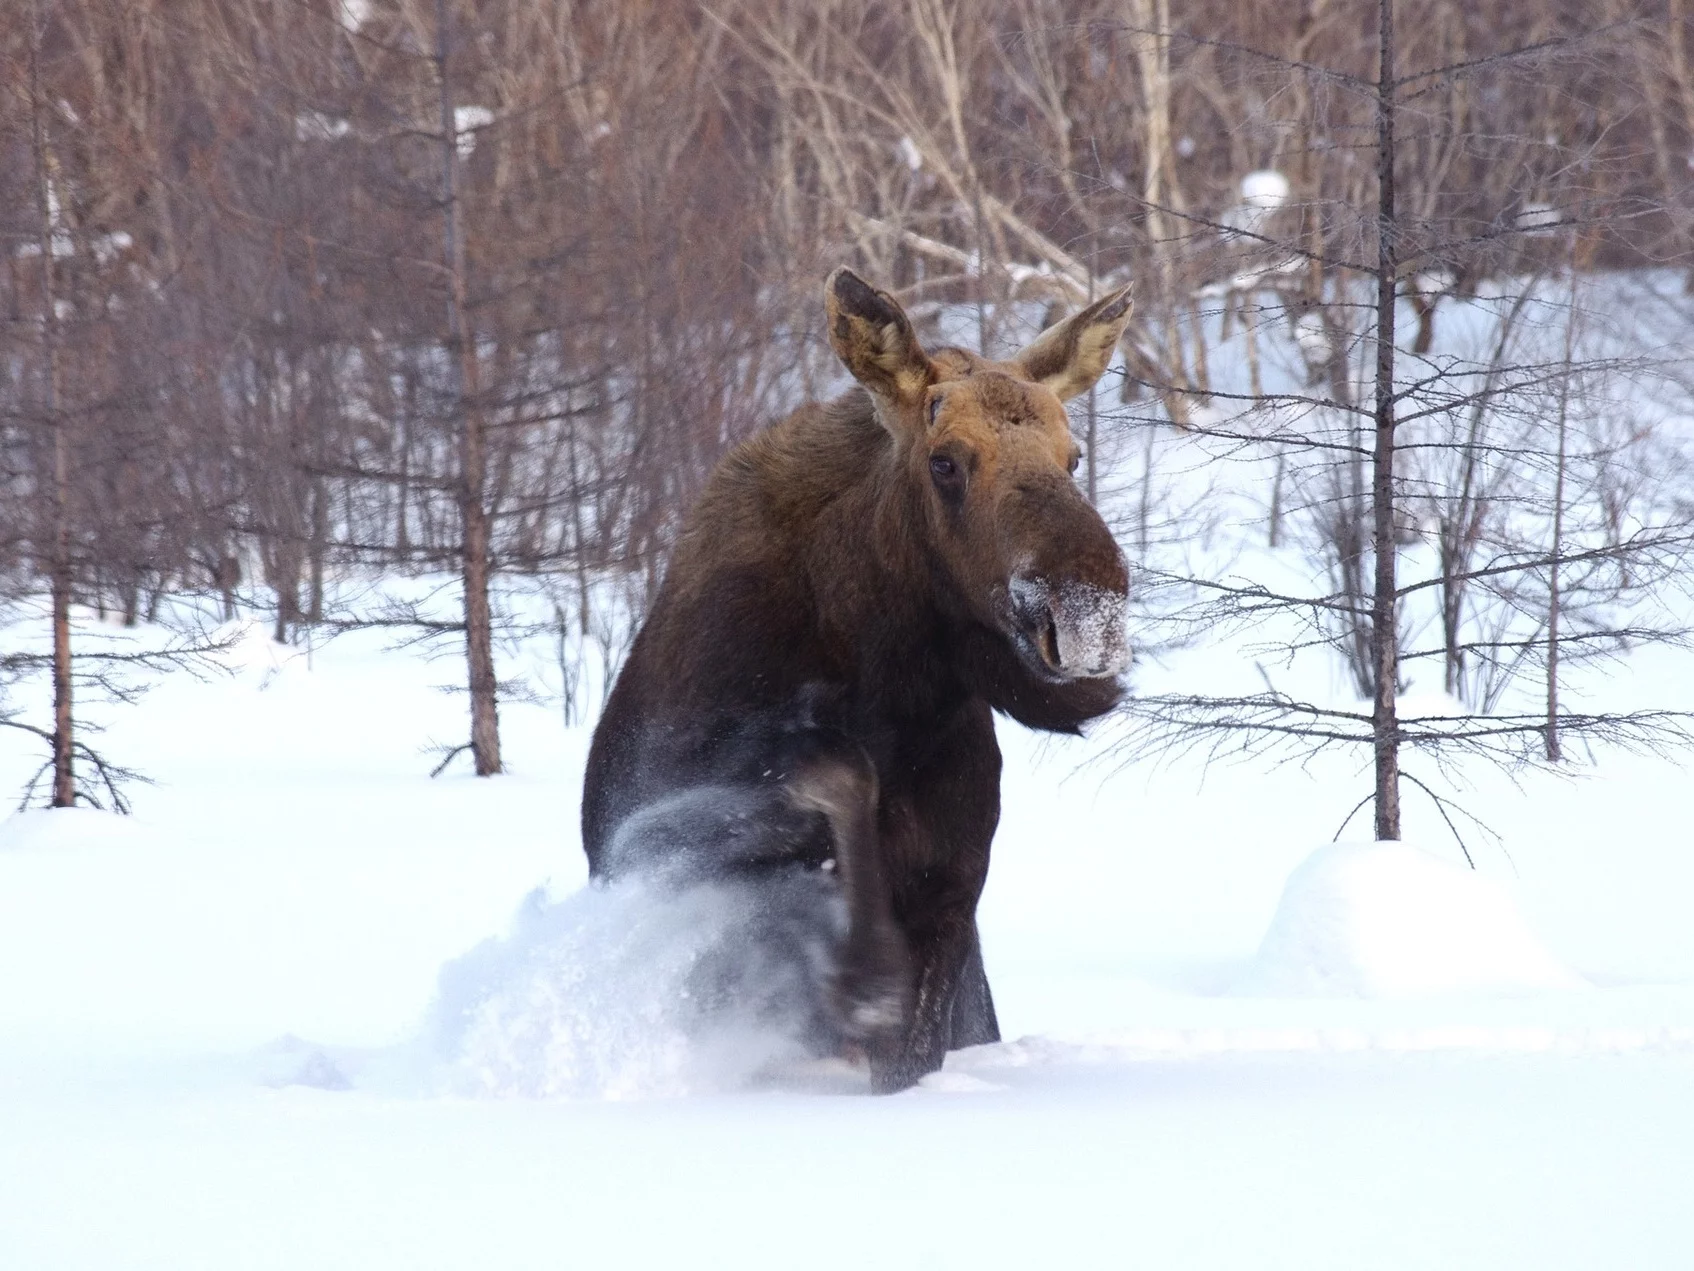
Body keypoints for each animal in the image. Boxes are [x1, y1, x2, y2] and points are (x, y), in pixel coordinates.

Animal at [586, 271, 1138, 1098]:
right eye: (946, 462)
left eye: (1073, 457)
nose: (1088, 613)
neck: (888, 688)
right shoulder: (649, 839)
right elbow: (834, 769)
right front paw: (866, 975)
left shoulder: (954, 890)